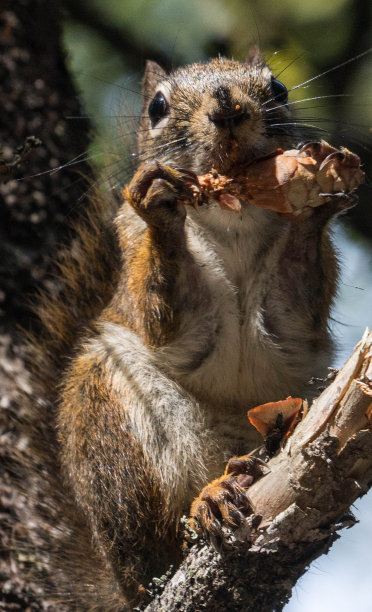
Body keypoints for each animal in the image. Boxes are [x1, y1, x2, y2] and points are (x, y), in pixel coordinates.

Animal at [24, 49, 352, 612]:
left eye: (279, 89)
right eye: (156, 107)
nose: (227, 107)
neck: (232, 213)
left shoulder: (291, 325)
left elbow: (289, 313)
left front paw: (314, 197)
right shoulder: (139, 260)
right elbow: (175, 320)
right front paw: (160, 205)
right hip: (110, 427)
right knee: (155, 553)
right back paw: (207, 503)